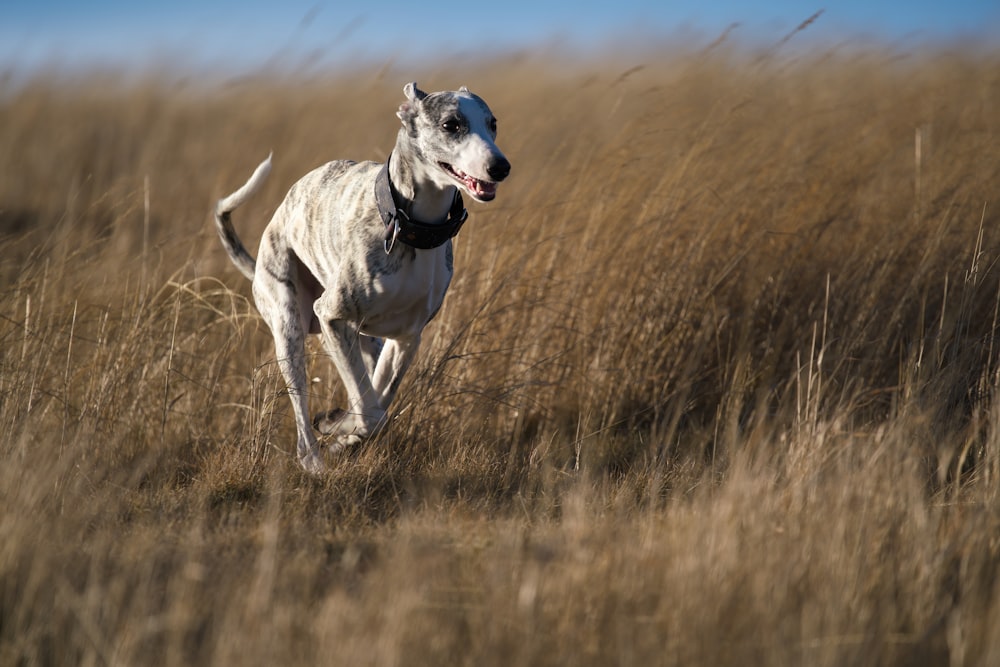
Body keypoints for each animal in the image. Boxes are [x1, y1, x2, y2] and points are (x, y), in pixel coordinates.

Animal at [211, 83, 508, 472]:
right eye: (451, 125)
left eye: (493, 123)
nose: (500, 167)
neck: (408, 227)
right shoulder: (332, 315)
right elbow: (370, 414)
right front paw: (338, 426)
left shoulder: (405, 338)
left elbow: (376, 405)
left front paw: (343, 432)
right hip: (290, 327)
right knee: (302, 409)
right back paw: (313, 460)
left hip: (361, 339)